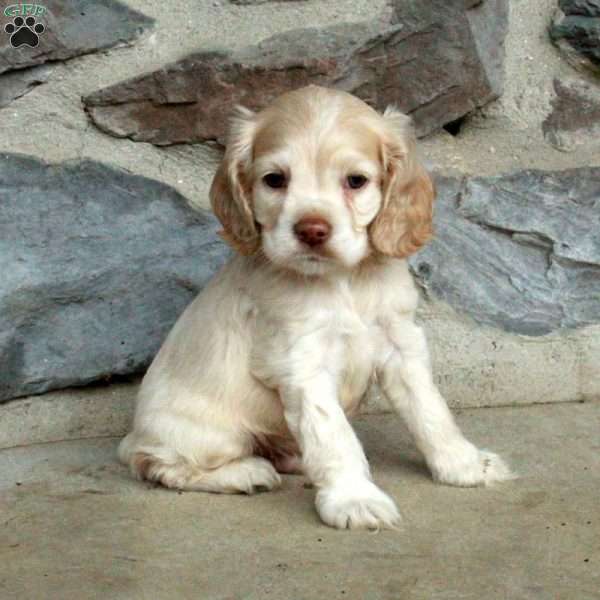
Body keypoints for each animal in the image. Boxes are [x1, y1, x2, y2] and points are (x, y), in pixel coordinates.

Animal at [119, 85, 512, 528]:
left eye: (356, 181)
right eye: (274, 180)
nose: (311, 230)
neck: (343, 281)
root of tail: (136, 433)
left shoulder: (400, 341)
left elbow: (429, 408)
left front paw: (465, 464)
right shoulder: (301, 362)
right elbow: (334, 436)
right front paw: (354, 499)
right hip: (204, 433)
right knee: (160, 465)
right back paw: (246, 472)